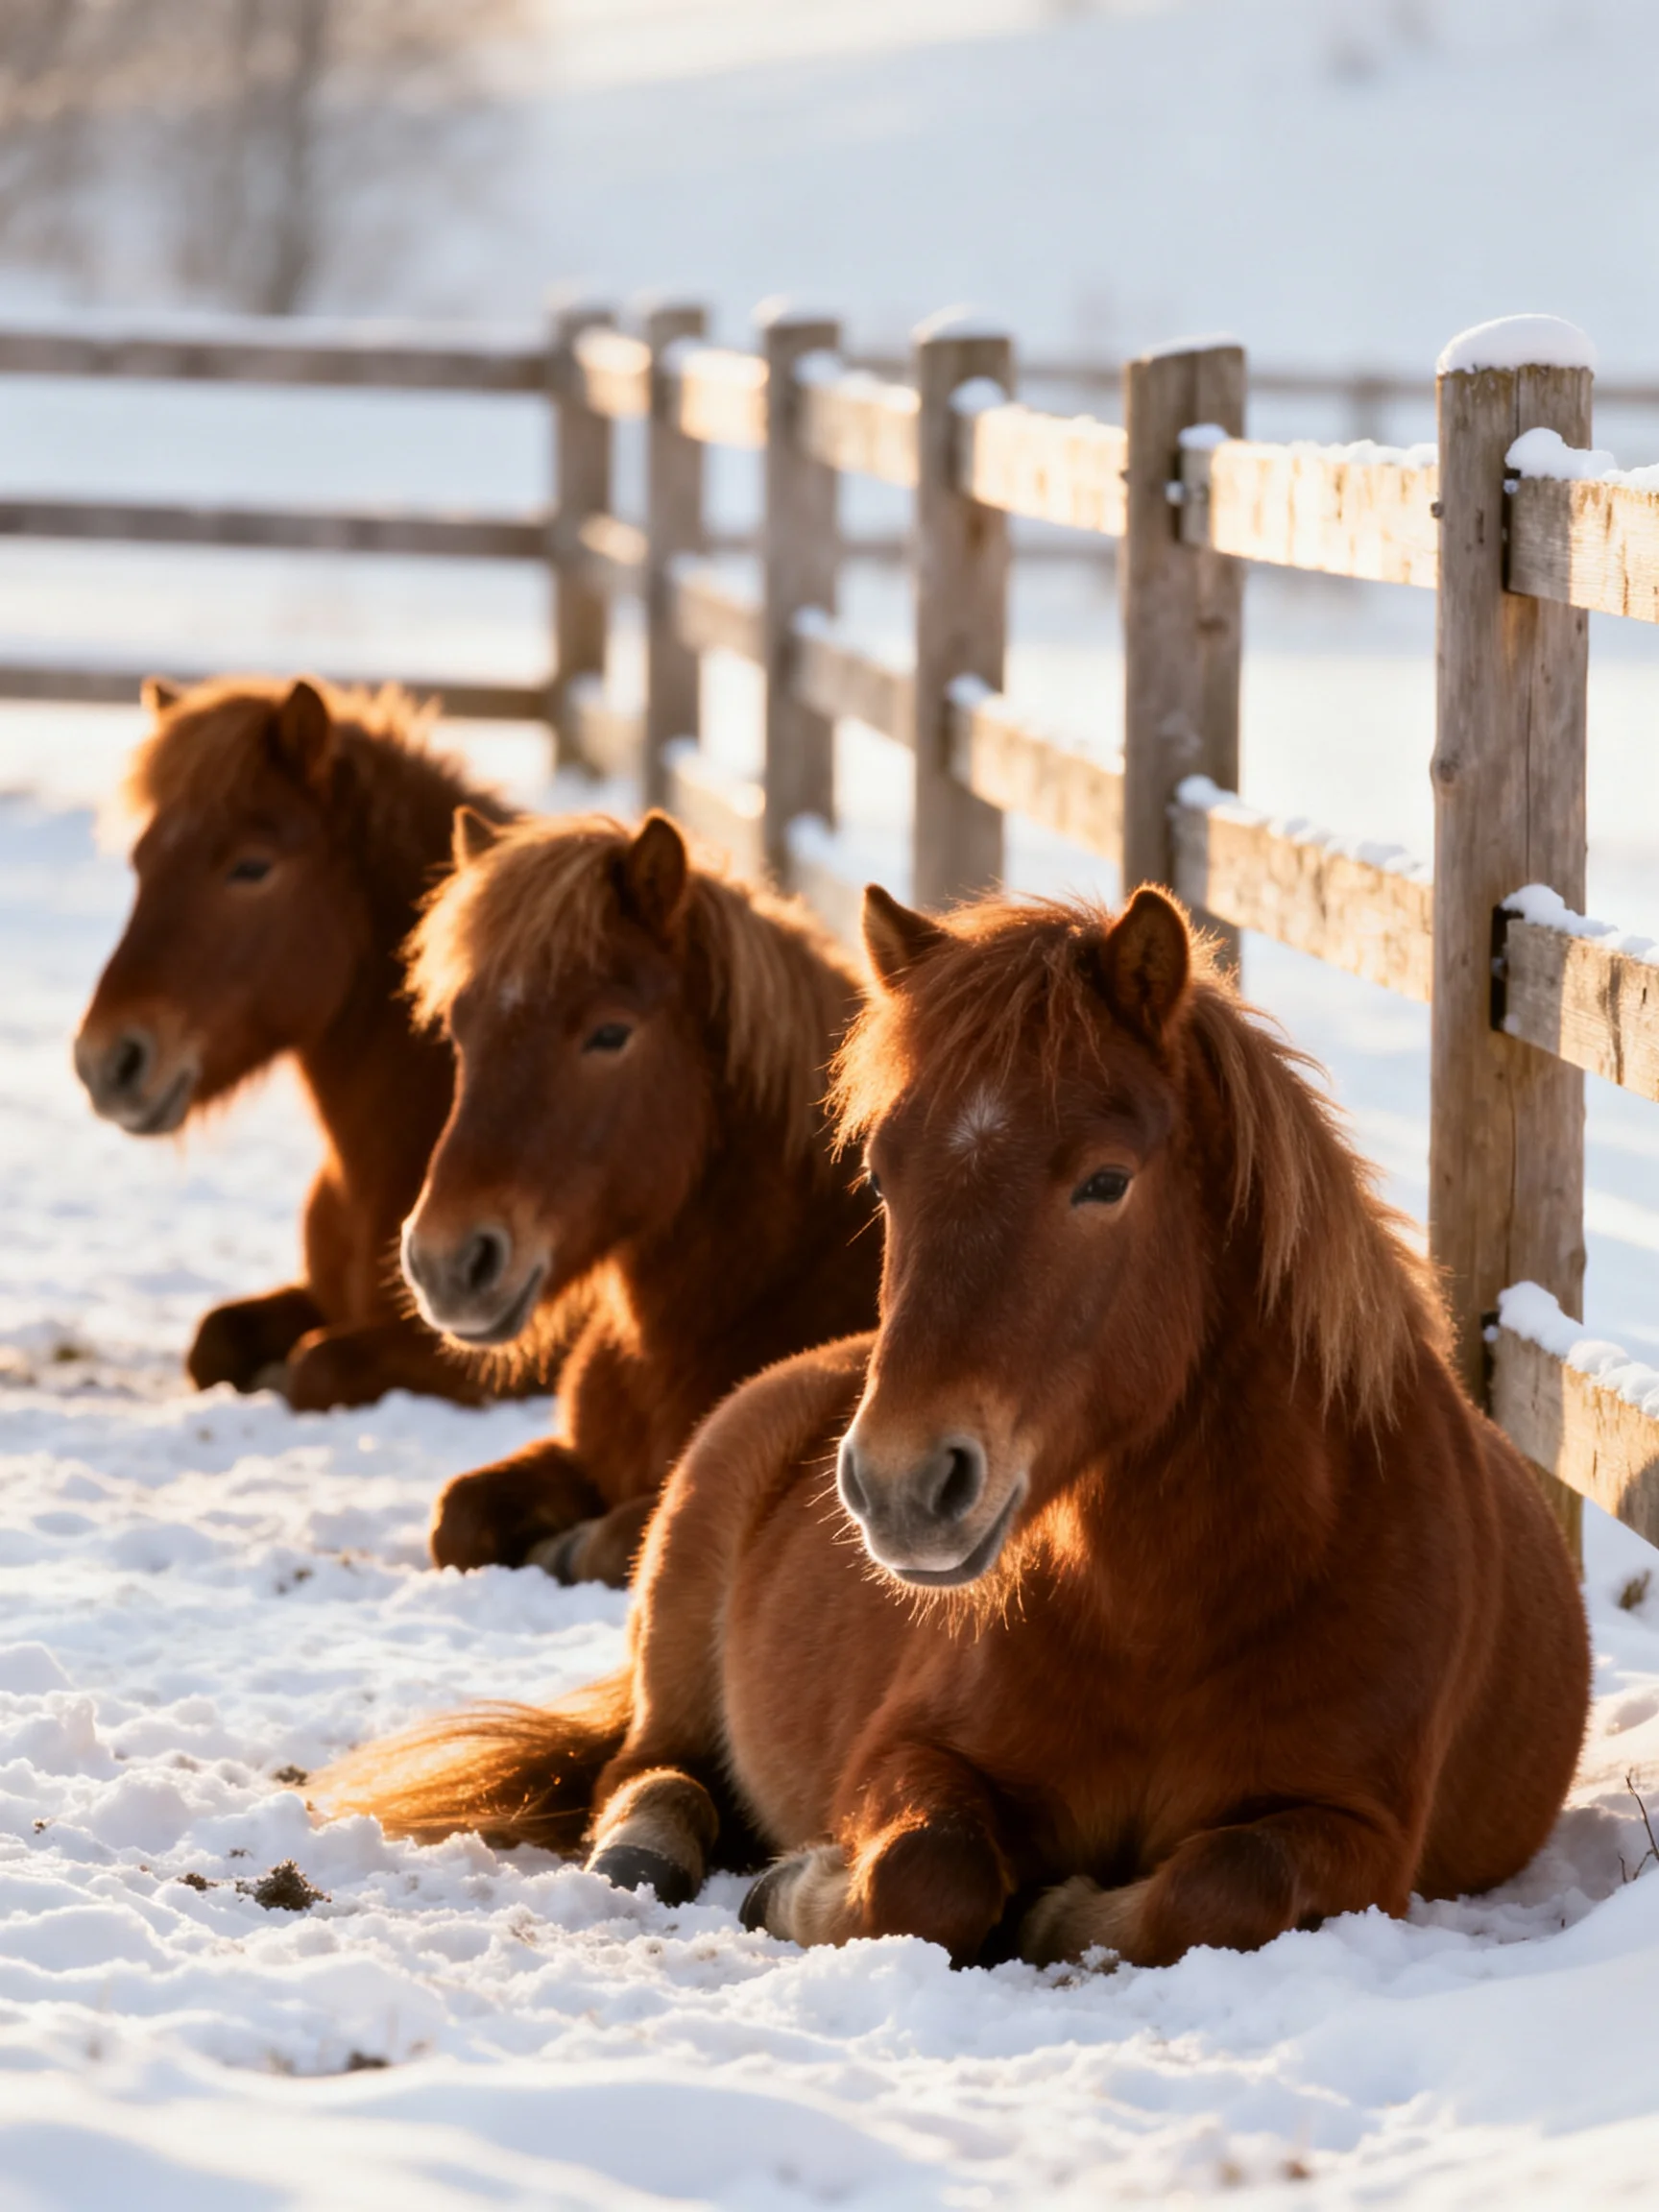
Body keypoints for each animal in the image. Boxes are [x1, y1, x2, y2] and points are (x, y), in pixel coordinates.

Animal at [75, 674, 512, 1411]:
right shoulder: (317, 1295)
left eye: (252, 867)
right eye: (141, 862)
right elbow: (213, 1339)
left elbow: (318, 1364)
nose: (107, 1061)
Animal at [395, 806, 882, 1587]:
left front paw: (561, 1546)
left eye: (610, 1033)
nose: (446, 1263)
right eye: (460, 1030)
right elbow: (459, 1516)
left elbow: (618, 1535)